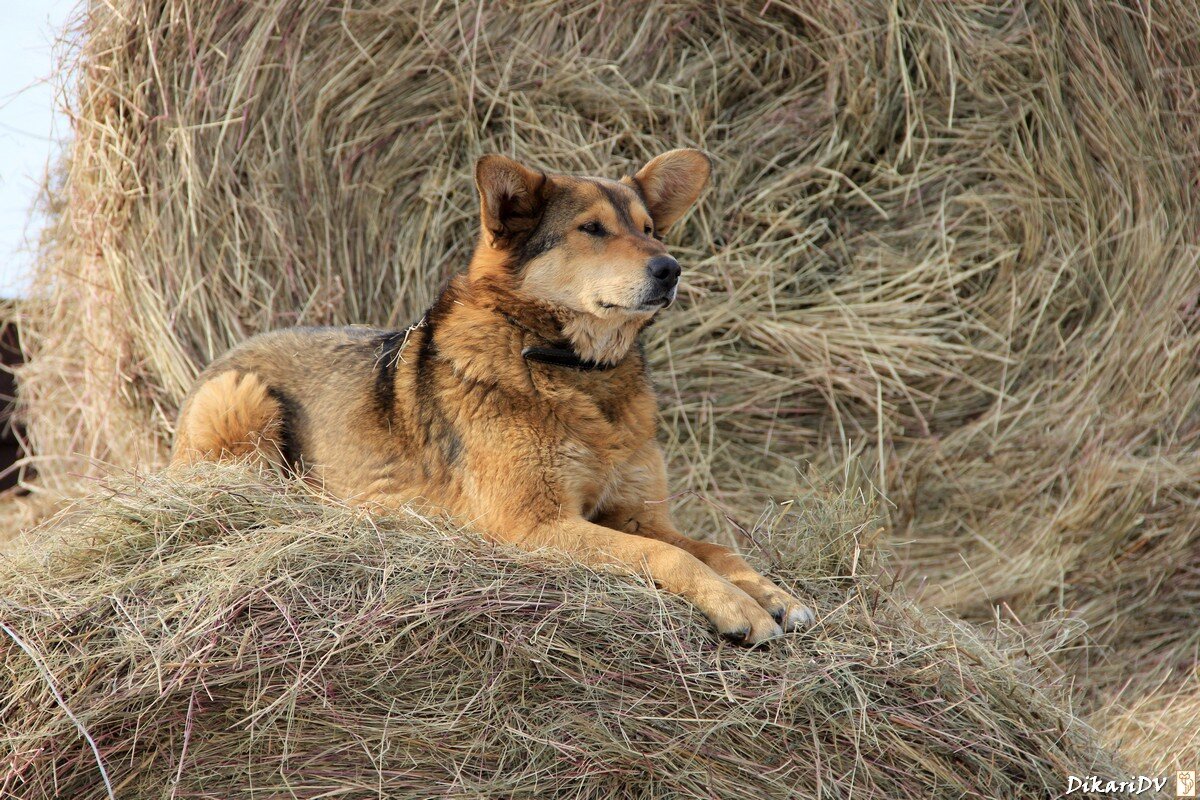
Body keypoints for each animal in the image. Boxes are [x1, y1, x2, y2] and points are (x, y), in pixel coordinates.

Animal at [174, 148, 816, 642]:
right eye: (592, 230)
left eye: (649, 228)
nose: (670, 268)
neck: (568, 366)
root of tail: (231, 350)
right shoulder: (533, 526)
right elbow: (668, 555)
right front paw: (739, 608)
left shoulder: (636, 512)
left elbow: (715, 549)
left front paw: (771, 593)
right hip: (240, 401)